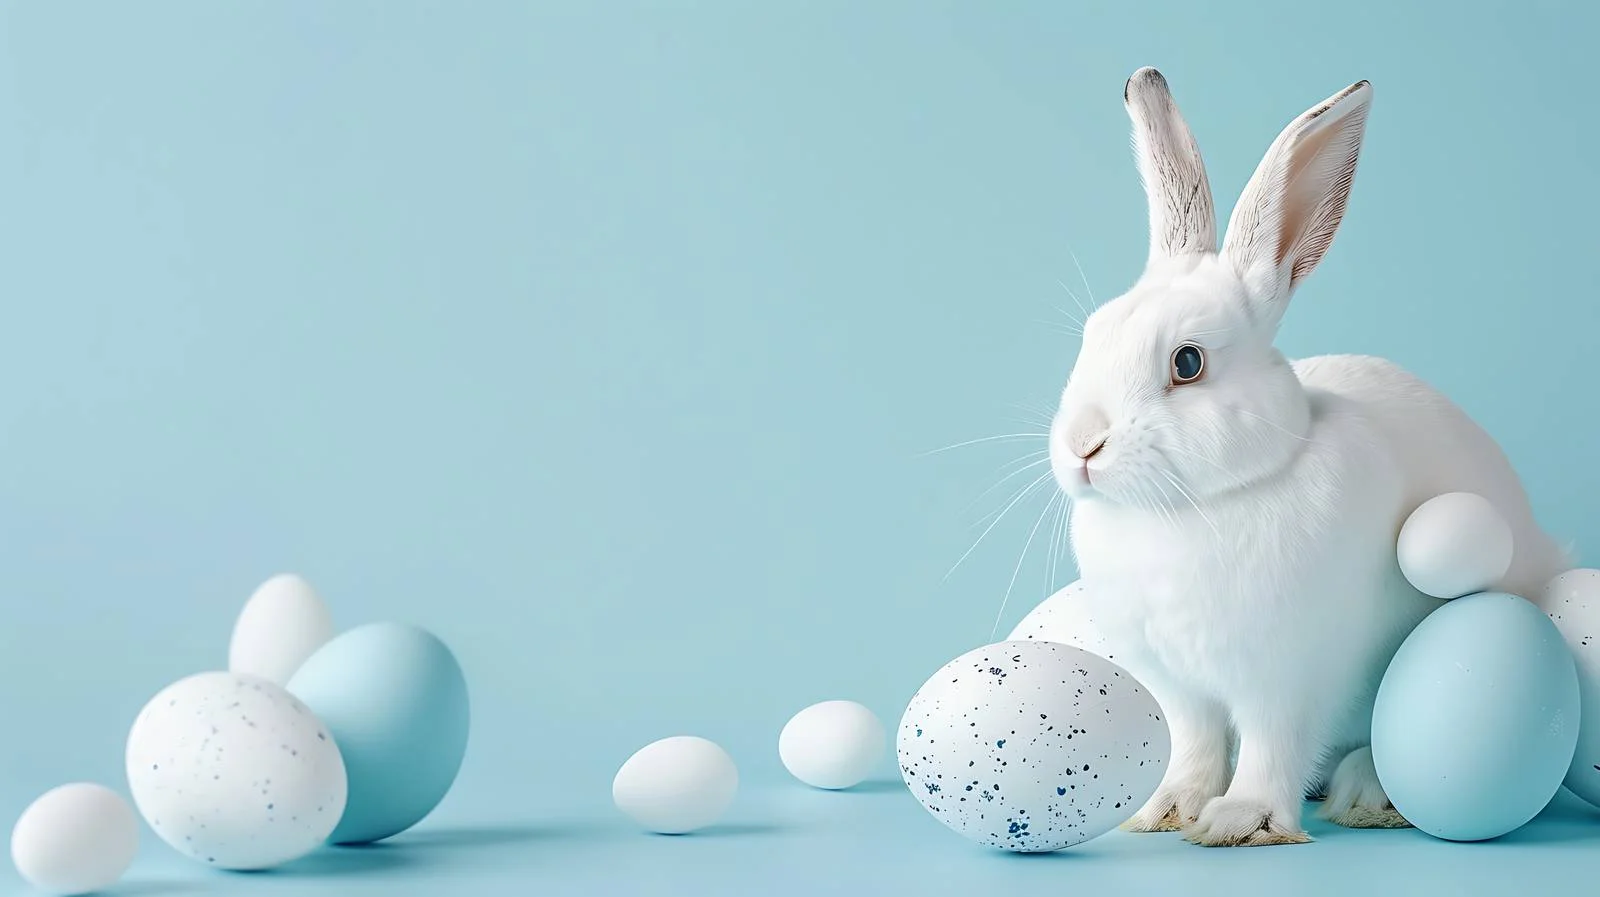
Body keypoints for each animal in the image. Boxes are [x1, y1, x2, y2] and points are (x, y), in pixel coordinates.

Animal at [1047, 67, 1570, 847]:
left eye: (1188, 363)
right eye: (1093, 334)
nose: (1082, 446)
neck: (1196, 504)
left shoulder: (1284, 681)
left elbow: (1271, 746)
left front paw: (1240, 819)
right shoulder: (1181, 688)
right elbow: (1196, 744)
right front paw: (1168, 810)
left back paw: (1367, 793)